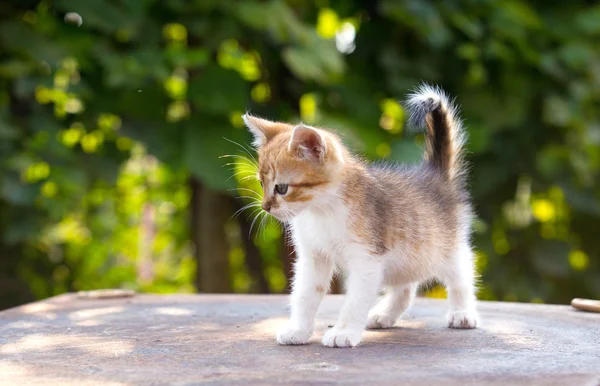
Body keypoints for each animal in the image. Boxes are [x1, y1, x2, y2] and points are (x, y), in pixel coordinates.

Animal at [241, 83, 480, 346]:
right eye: (261, 184)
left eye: (282, 188)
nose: (265, 207)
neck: (322, 211)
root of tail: (435, 174)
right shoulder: (314, 257)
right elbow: (304, 295)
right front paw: (299, 330)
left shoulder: (367, 259)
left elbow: (355, 299)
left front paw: (343, 332)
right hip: (407, 258)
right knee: (406, 290)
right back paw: (385, 315)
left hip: (444, 249)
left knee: (461, 276)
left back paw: (462, 313)